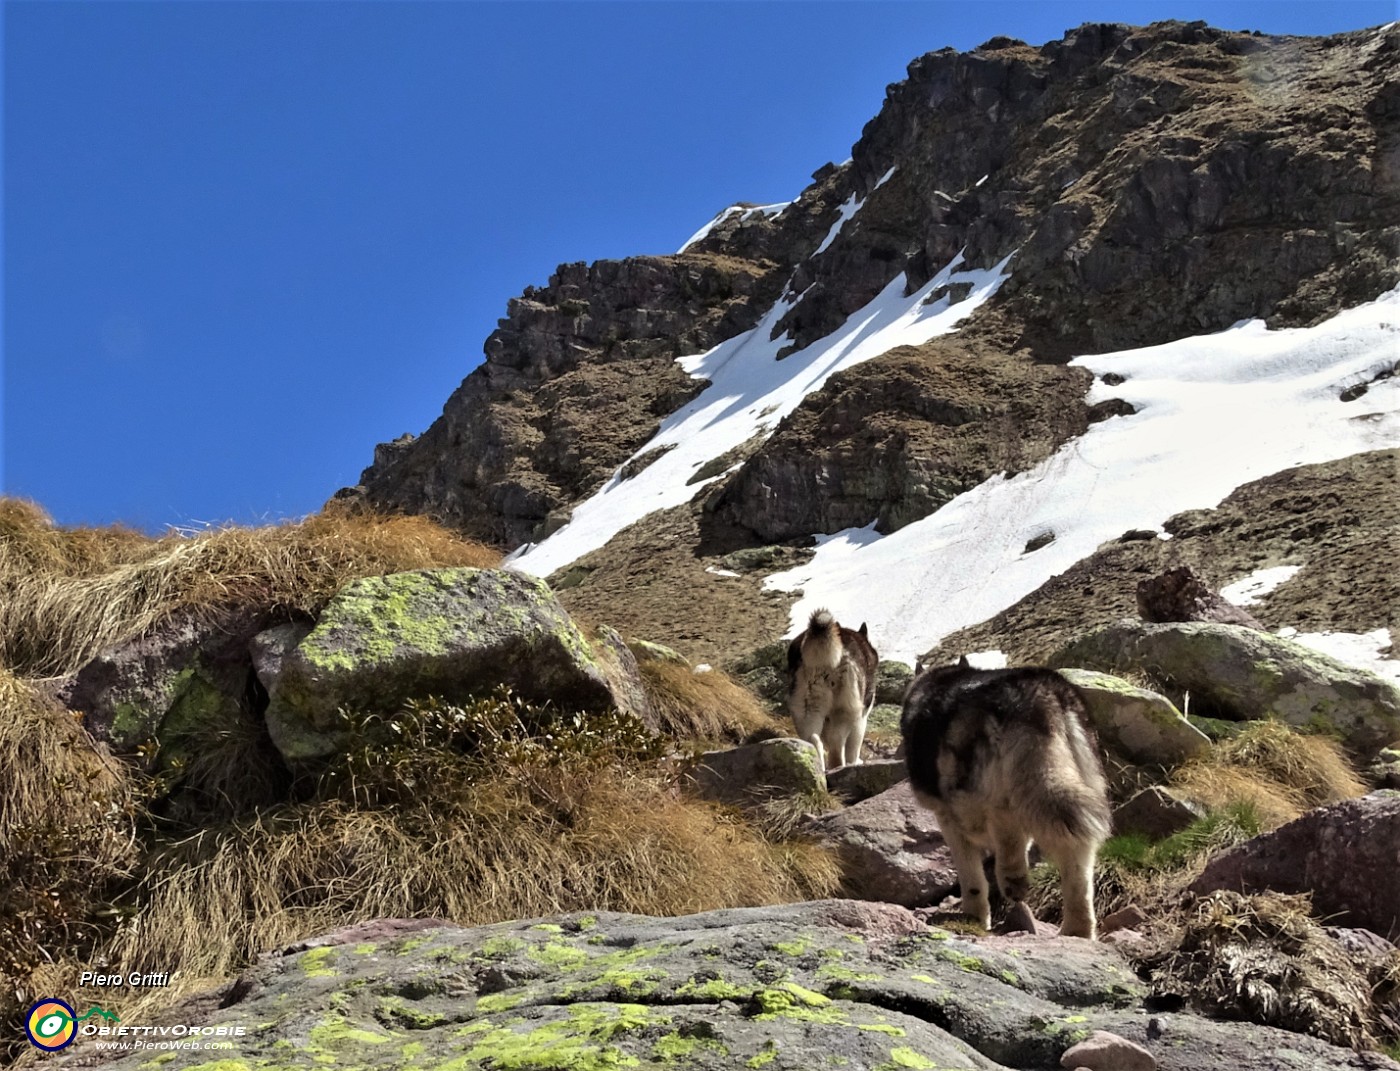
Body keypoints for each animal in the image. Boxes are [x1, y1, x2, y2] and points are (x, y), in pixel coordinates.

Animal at [789, 610, 873, 767]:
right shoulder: (862, 714)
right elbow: (855, 742)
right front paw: (855, 762)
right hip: (844, 705)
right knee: (837, 741)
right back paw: (837, 764)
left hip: (806, 702)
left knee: (813, 738)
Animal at [901, 660, 1108, 935]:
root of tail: (1045, 691)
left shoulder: (949, 817)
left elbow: (970, 875)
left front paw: (975, 917)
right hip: (1075, 788)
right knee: (1078, 865)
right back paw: (1077, 931)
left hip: (983, 787)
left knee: (1006, 823)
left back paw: (1013, 879)